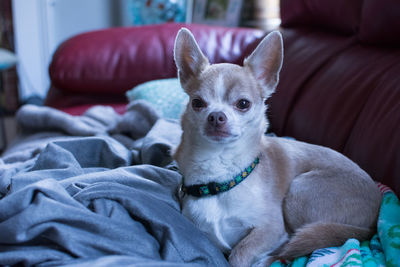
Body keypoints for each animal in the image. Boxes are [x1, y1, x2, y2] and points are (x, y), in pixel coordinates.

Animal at [172, 28, 382, 266]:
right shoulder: (202, 230)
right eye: (197, 103)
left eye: (243, 104)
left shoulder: (272, 229)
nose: (216, 116)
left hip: (300, 191)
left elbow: (239, 253)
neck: (221, 173)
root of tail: (371, 225)